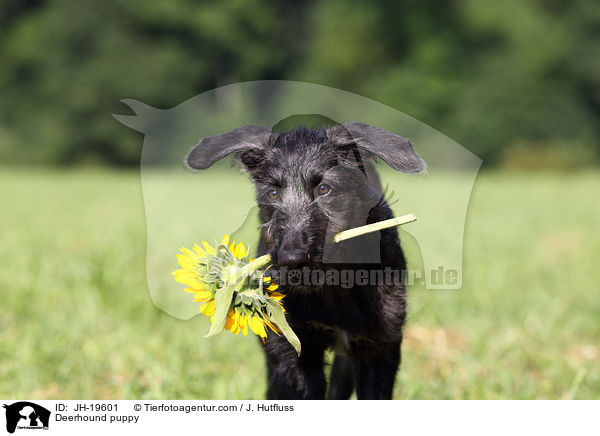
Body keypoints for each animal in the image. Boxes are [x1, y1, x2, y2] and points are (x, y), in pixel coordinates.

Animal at [188, 122, 426, 398]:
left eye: (324, 189)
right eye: (272, 193)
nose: (291, 259)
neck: (333, 286)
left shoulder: (380, 346)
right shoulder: (292, 349)